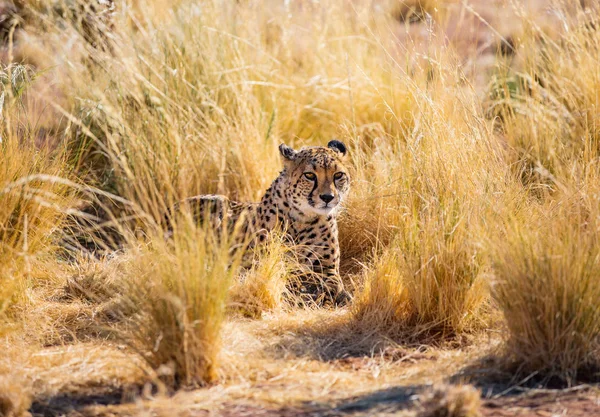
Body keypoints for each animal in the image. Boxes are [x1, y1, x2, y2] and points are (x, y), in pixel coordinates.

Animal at [173, 140, 350, 306]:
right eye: (310, 175)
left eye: (338, 175)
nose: (327, 197)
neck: (303, 218)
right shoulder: (261, 263)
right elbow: (289, 277)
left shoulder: (328, 268)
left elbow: (333, 283)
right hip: (218, 201)